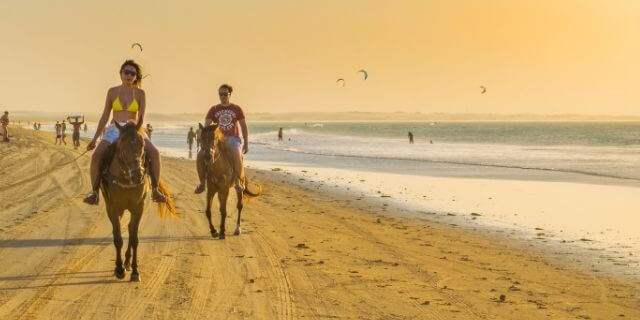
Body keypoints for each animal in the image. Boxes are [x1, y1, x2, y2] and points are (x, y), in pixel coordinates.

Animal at [100, 121, 176, 282]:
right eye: (122, 147)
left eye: (142, 145)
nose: (138, 175)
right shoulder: (114, 209)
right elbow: (118, 238)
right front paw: (119, 270)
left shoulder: (138, 208)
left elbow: (134, 238)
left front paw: (135, 271)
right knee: (119, 231)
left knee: (130, 228)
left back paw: (127, 262)